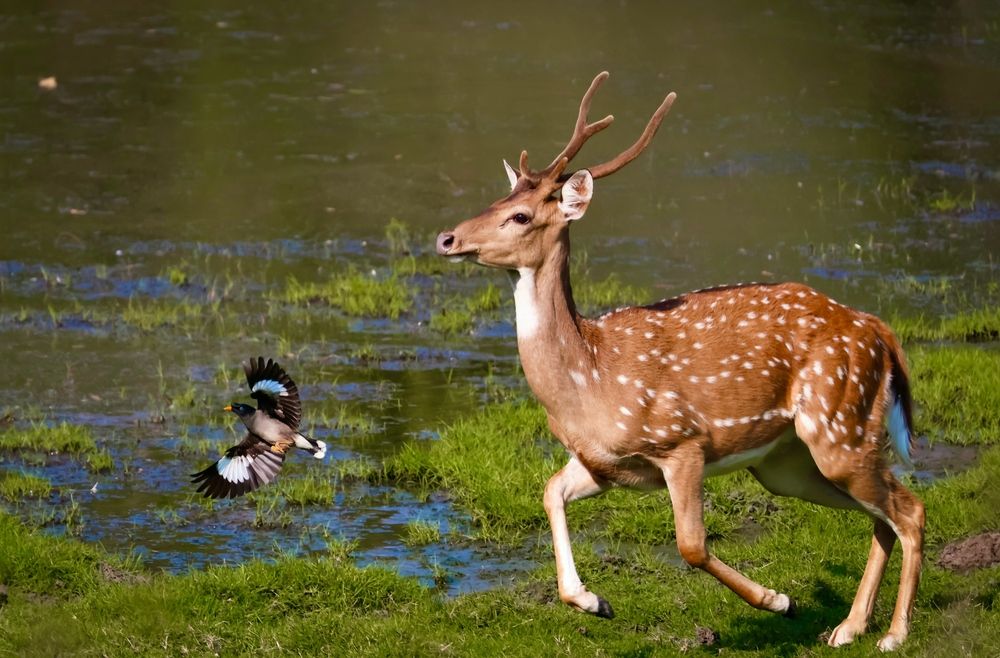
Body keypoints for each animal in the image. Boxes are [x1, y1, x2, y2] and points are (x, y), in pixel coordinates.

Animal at [434, 71, 924, 651]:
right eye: (497, 197)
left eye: (520, 215)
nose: (447, 237)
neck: (589, 381)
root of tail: (879, 331)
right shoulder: (604, 464)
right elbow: (551, 490)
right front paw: (595, 601)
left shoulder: (681, 441)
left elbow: (691, 545)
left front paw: (779, 600)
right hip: (787, 464)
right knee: (884, 514)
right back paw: (848, 628)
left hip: (839, 427)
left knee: (910, 509)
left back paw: (893, 634)